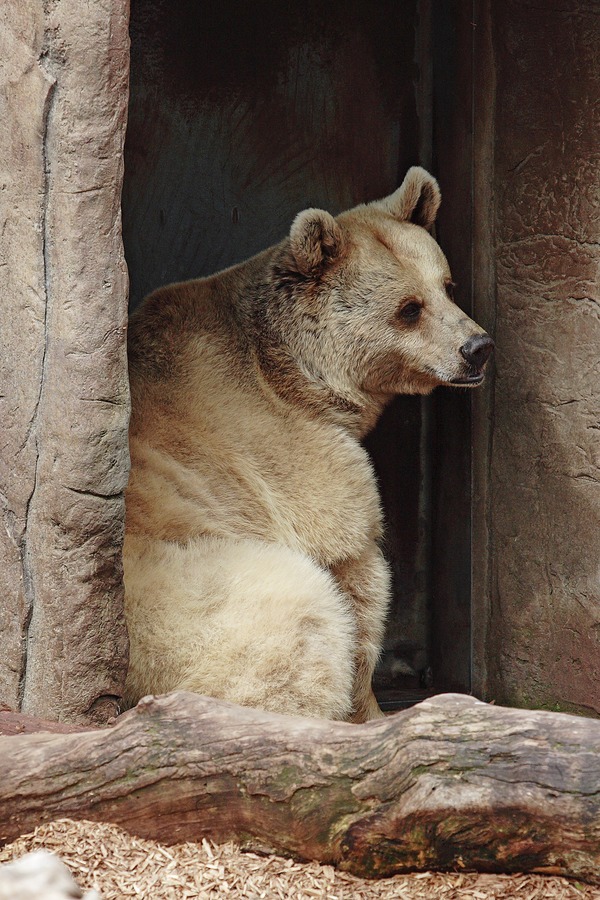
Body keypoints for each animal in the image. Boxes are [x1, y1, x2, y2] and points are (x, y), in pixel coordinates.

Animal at [124, 165, 494, 720]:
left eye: (448, 286)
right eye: (409, 308)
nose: (478, 347)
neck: (298, 374)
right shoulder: (288, 448)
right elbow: (354, 568)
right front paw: (370, 708)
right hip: (184, 605)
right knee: (298, 613)